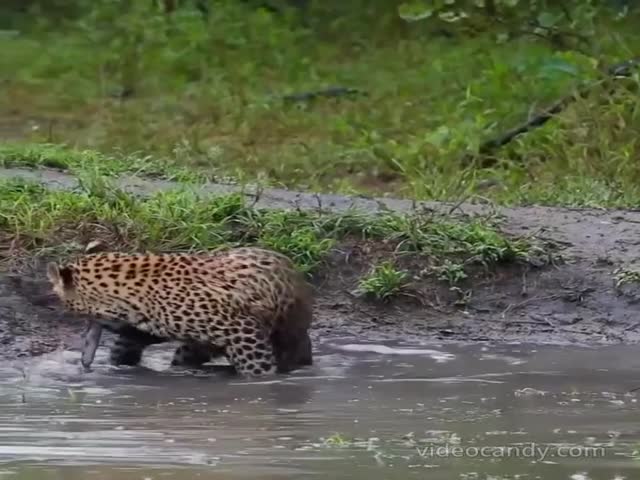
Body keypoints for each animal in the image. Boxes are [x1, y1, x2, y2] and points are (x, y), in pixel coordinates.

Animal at [46, 246, 314, 376]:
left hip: (288, 334)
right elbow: (126, 345)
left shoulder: (243, 332)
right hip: (195, 348)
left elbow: (258, 369)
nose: (86, 346)